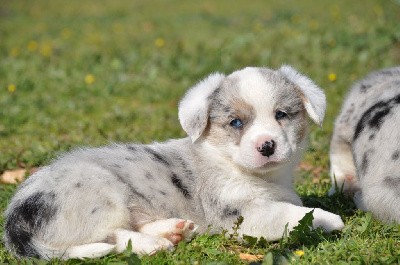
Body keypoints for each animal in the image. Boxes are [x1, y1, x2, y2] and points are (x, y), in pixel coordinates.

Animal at [3, 65, 344, 258]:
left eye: (281, 115)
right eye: (236, 123)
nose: (267, 146)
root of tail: (15, 218)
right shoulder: (240, 216)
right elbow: (293, 214)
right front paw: (330, 219)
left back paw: (173, 230)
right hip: (102, 195)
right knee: (110, 236)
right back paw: (153, 244)